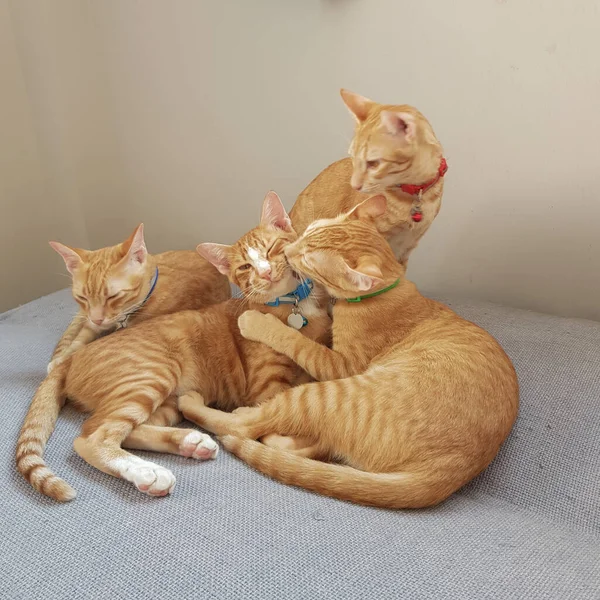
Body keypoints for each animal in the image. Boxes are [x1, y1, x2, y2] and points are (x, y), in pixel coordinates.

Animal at [15, 192, 328, 502]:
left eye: (273, 248)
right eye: (244, 267)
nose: (265, 273)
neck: (293, 307)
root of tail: (70, 358)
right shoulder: (267, 390)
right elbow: (284, 432)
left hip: (166, 401)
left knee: (131, 430)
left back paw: (189, 441)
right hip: (151, 377)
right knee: (91, 436)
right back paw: (147, 472)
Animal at [189, 195, 520, 508]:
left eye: (307, 258)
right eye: (307, 231)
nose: (287, 252)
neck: (389, 286)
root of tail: (446, 474)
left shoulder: (341, 364)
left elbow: (298, 341)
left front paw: (257, 322)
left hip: (324, 393)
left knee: (246, 426)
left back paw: (205, 406)